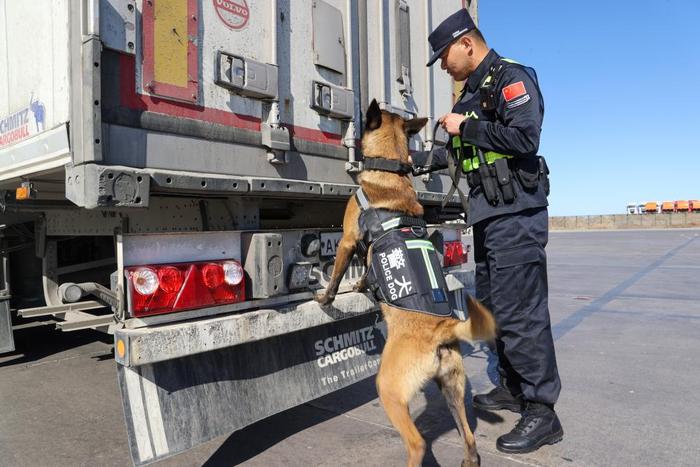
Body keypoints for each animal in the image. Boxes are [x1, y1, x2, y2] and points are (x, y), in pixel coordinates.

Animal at [318, 100, 498, 466]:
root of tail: (442, 329)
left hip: (389, 389)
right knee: (469, 439)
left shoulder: (346, 240)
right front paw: (361, 286)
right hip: (452, 388)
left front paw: (327, 298)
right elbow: (364, 271)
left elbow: (338, 274)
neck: (390, 173)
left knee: (417, 443)